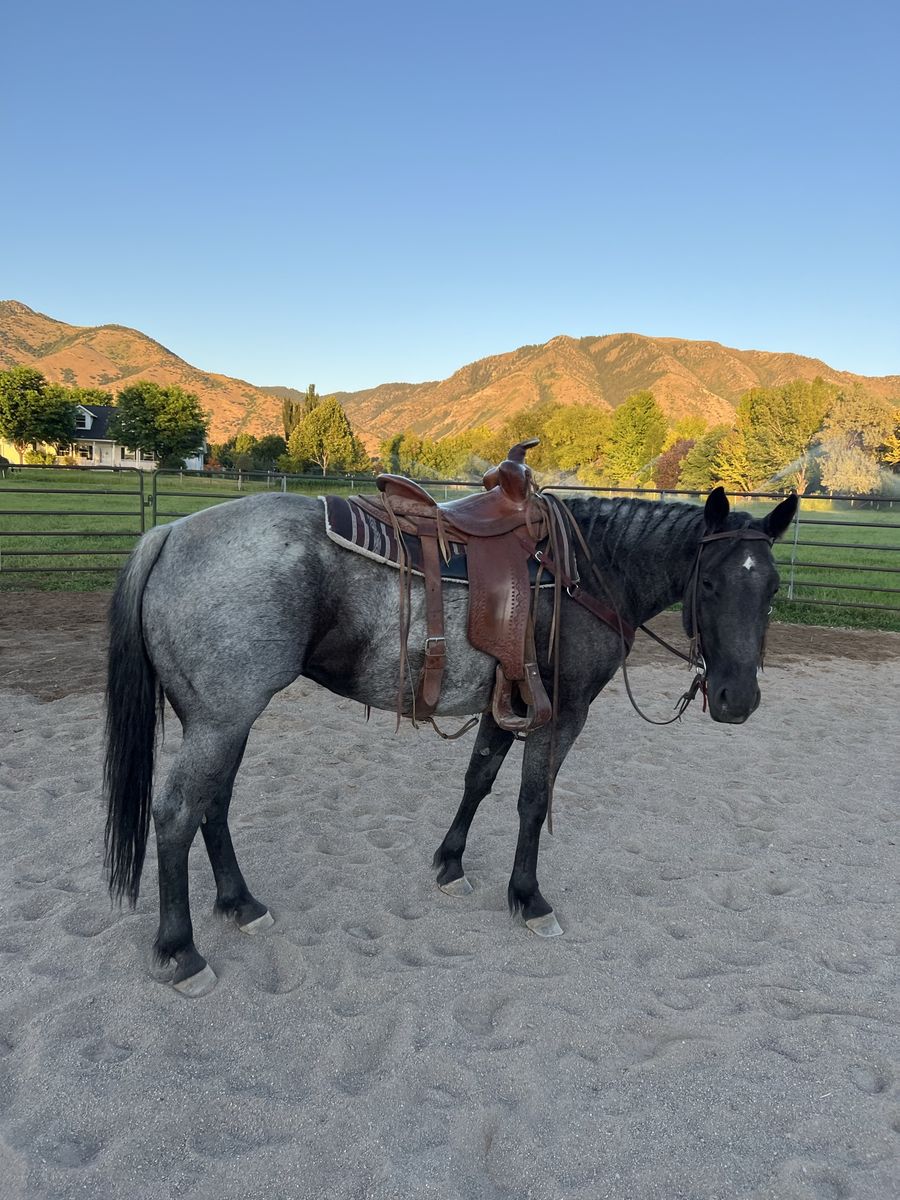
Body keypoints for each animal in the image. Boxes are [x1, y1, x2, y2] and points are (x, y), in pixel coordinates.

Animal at [104, 485, 797, 996]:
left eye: (770, 588)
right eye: (708, 583)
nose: (737, 699)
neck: (589, 573)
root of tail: (171, 534)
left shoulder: (506, 705)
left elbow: (480, 779)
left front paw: (450, 862)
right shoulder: (562, 714)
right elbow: (531, 802)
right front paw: (528, 897)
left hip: (221, 721)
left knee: (212, 804)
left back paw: (241, 904)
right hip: (222, 720)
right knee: (177, 814)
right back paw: (181, 951)